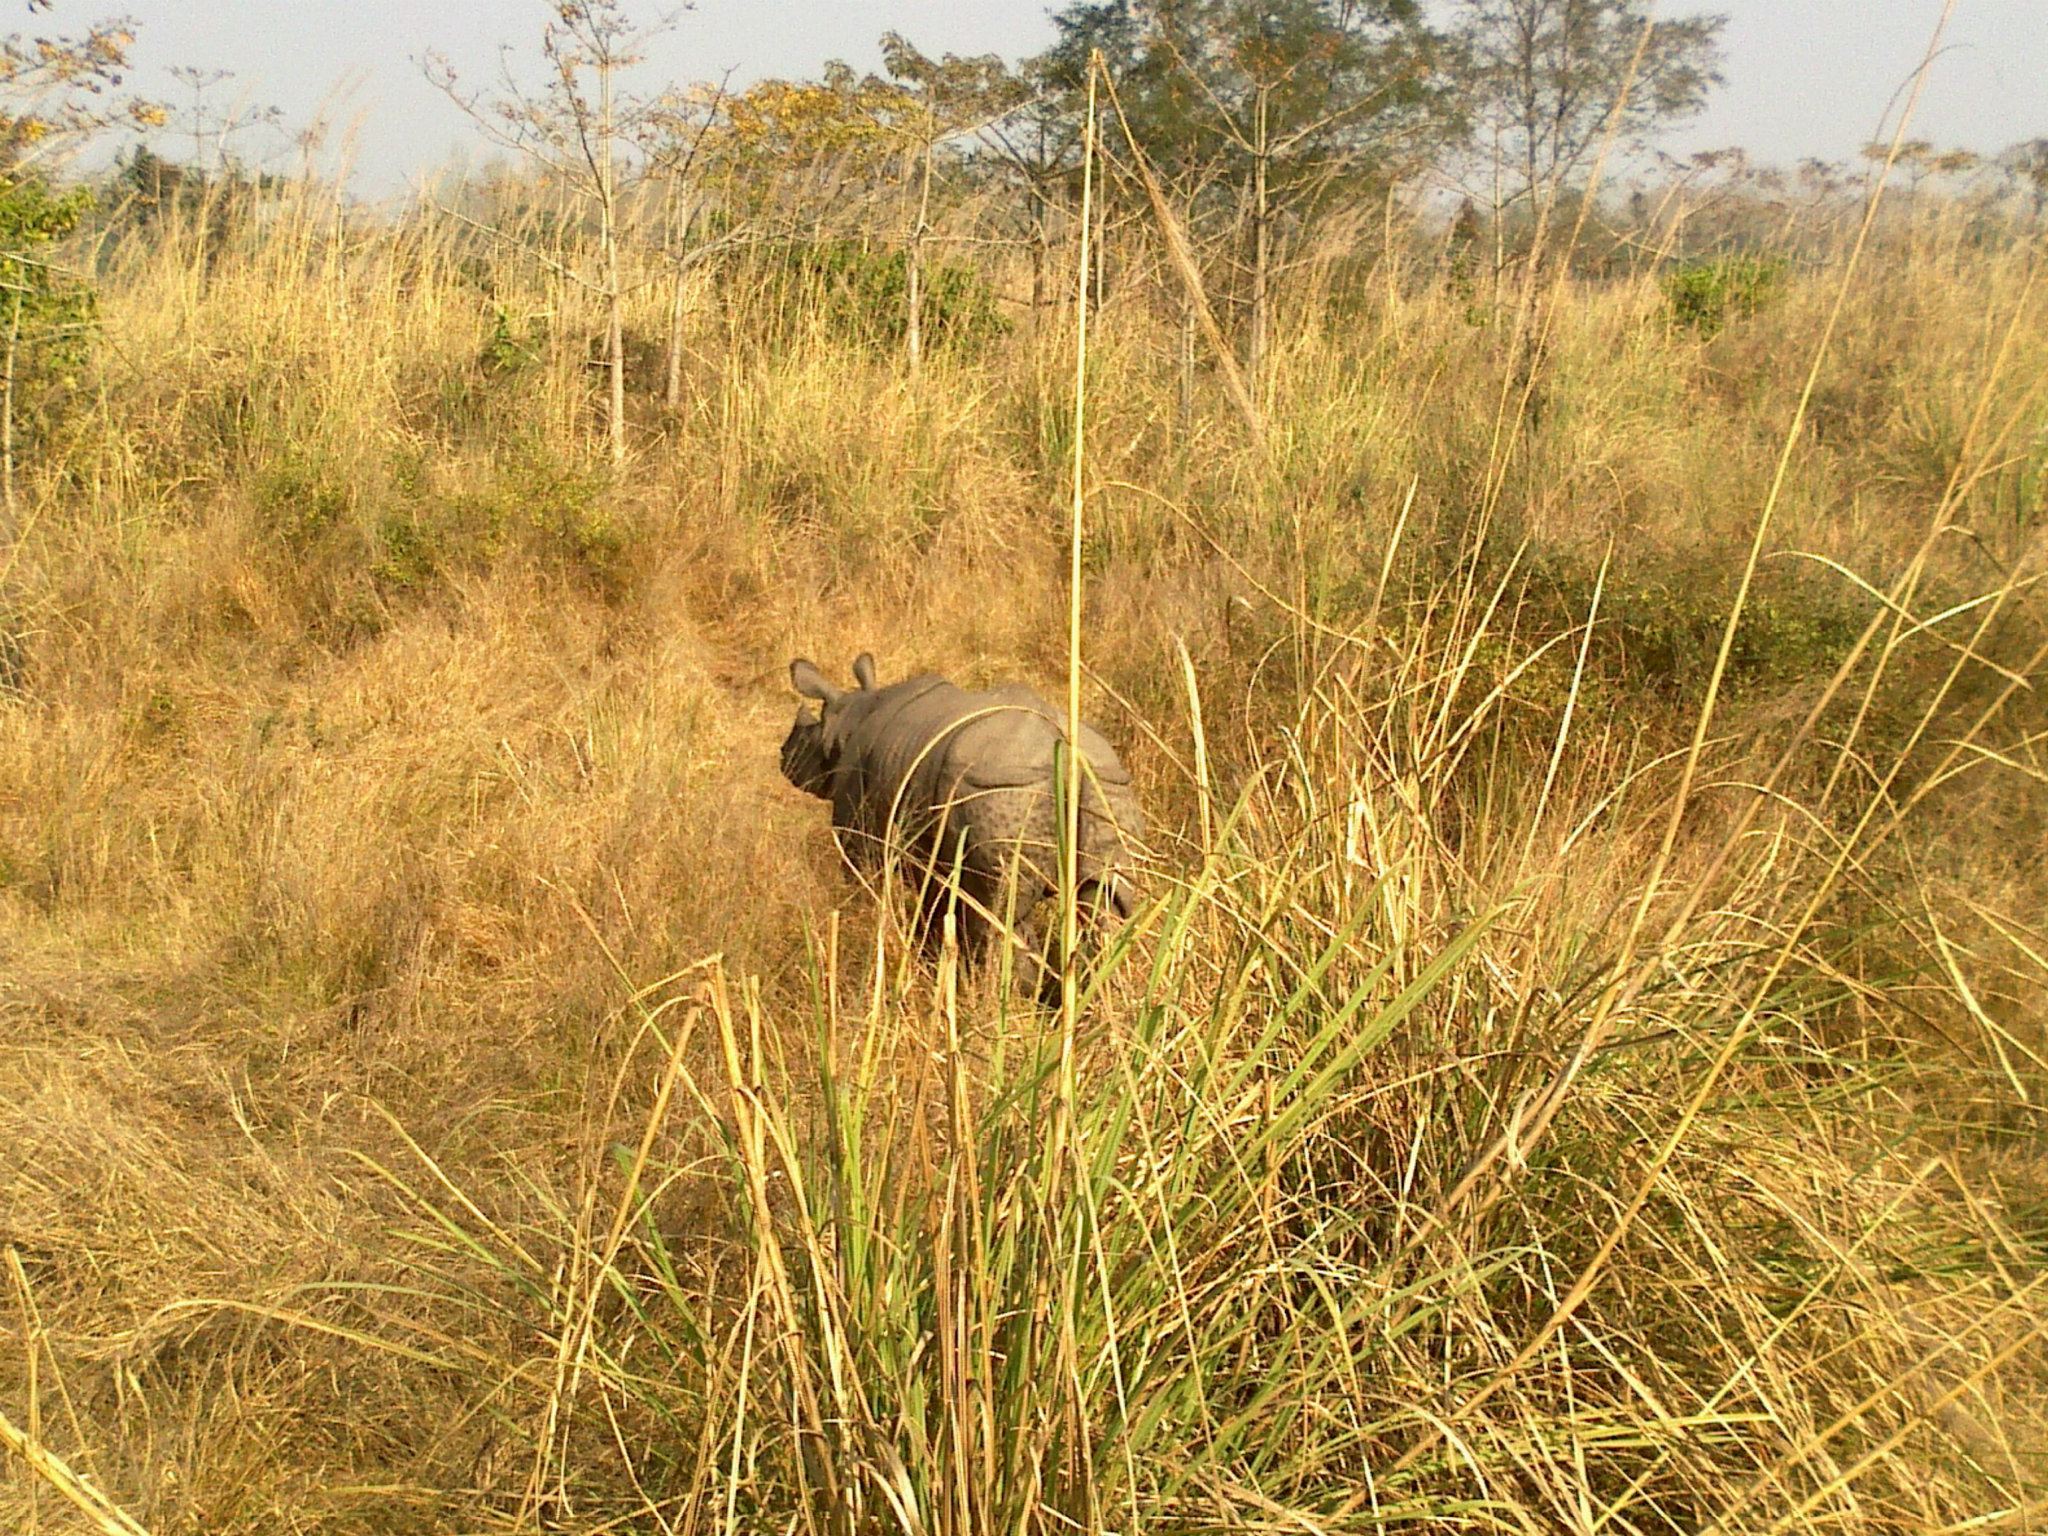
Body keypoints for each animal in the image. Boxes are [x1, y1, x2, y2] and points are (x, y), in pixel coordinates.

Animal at [780, 651, 1145, 997]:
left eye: (804, 736)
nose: (783, 758)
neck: (850, 717)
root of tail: (1064, 753)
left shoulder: (858, 819)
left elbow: (863, 878)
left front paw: (861, 926)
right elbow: (935, 908)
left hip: (1001, 787)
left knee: (1000, 912)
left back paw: (1002, 1001)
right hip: (1107, 785)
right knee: (1107, 905)